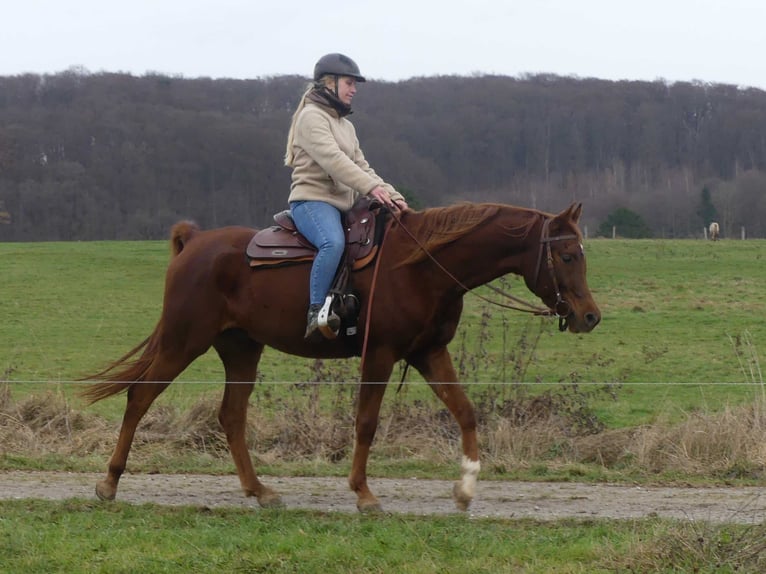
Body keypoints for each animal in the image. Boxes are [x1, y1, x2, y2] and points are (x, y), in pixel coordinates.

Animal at [82, 201, 601, 513]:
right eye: (567, 256)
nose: (590, 316)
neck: (423, 267)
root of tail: (193, 242)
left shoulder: (429, 352)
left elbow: (465, 411)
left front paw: (466, 485)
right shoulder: (381, 353)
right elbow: (366, 423)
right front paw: (364, 494)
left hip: (241, 348)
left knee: (231, 416)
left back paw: (259, 491)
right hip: (182, 341)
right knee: (140, 397)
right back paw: (109, 484)